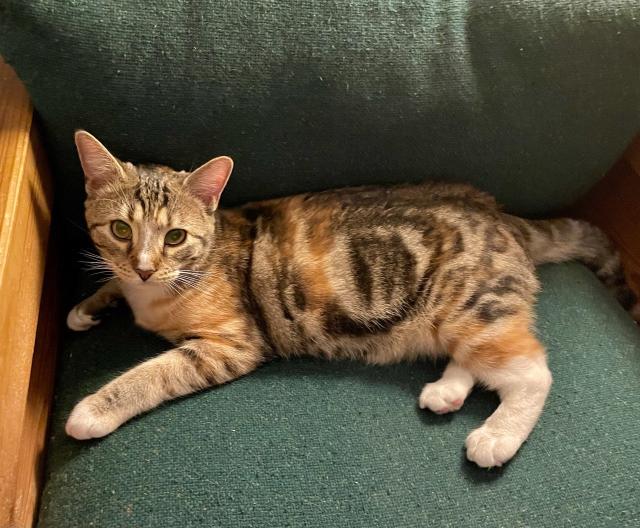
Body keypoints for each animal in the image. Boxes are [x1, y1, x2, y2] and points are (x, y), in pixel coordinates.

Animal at [67, 130, 636, 468]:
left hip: (469, 307)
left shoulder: (231, 343)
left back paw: (496, 437)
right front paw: (90, 304)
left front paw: (93, 409)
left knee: (530, 372)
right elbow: (112, 282)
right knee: (474, 359)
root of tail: (501, 214)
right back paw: (447, 392)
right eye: (120, 229)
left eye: (175, 237)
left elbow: (151, 374)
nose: (144, 266)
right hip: (459, 319)